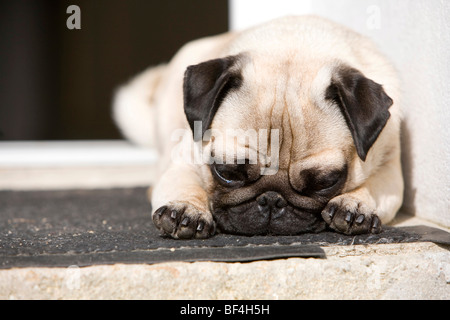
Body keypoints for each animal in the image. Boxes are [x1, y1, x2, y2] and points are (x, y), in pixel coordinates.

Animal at [113, 16, 404, 239]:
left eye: (324, 182)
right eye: (228, 172)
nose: (272, 199)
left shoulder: (390, 169)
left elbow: (375, 185)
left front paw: (355, 203)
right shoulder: (184, 159)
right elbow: (186, 183)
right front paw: (187, 208)